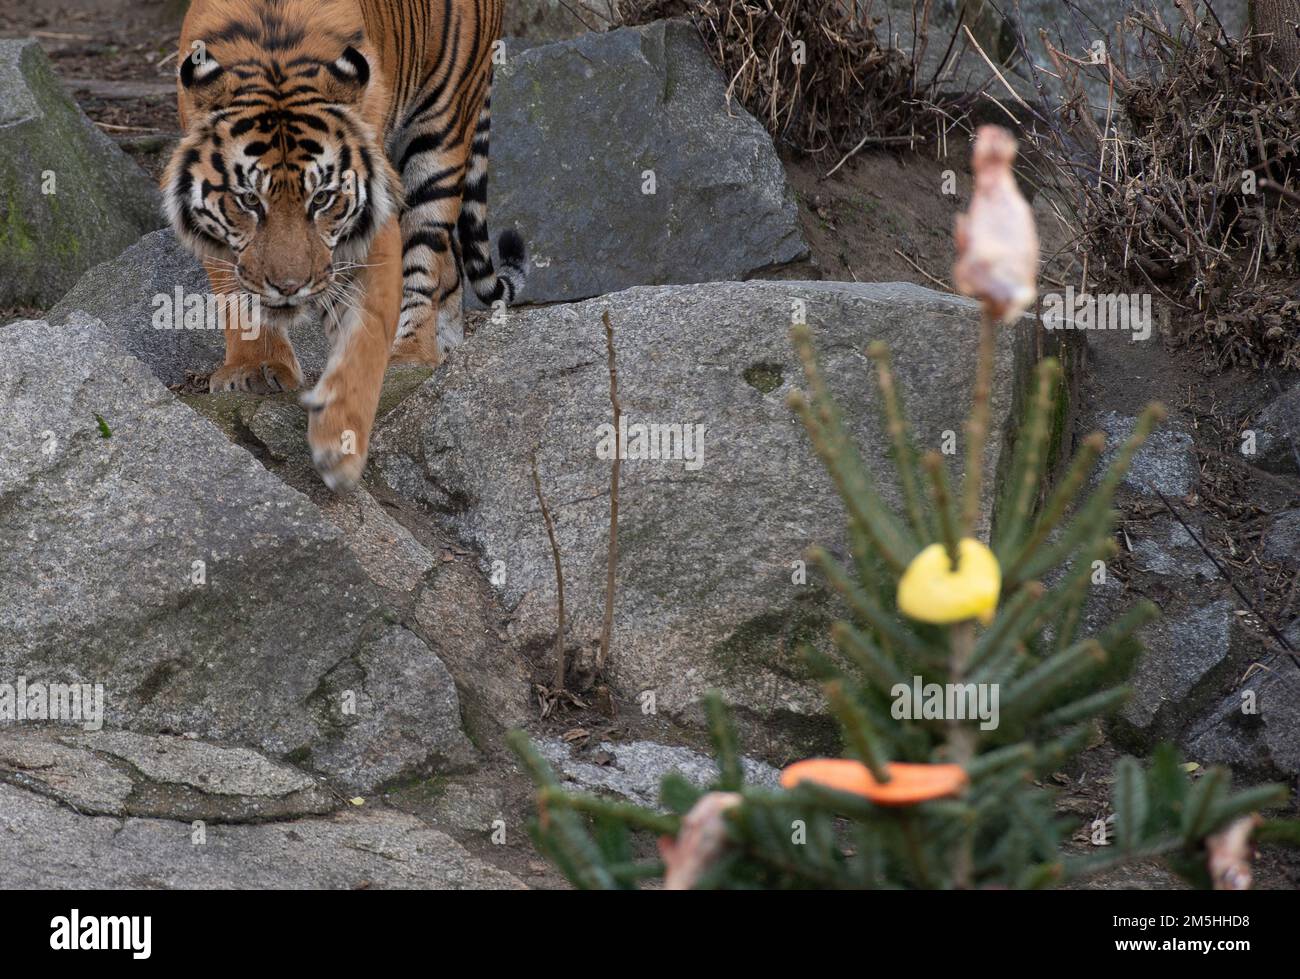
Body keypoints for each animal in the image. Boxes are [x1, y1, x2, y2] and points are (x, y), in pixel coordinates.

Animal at [165, 0, 525, 488]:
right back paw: (446, 347)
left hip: (442, 131)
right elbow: (235, 296)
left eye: (322, 198)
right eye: (249, 200)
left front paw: (341, 442)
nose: (290, 286)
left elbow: (366, 334)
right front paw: (253, 368)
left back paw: (412, 354)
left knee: (427, 255)